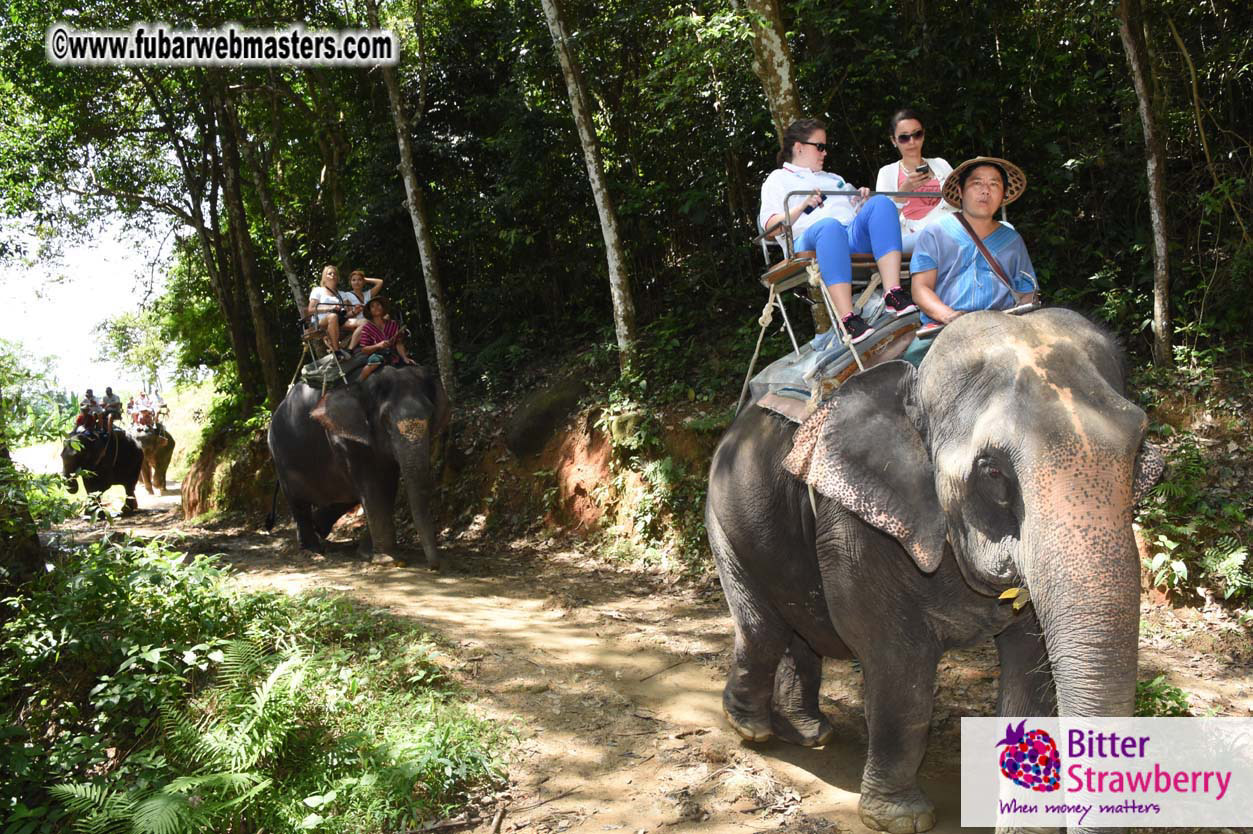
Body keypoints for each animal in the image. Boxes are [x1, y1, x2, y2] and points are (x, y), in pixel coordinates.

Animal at [268, 363, 449, 567]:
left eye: (431, 415)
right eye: (386, 420)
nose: (434, 567)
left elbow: (387, 486)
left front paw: (367, 553)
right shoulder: (344, 438)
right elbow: (373, 488)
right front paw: (386, 559)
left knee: (344, 496)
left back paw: (319, 527)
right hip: (281, 457)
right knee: (298, 503)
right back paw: (312, 550)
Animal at [705, 309, 1164, 834]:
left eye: (1139, 450)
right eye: (992, 471)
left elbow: (1033, 665)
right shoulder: (858, 526)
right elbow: (899, 661)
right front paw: (900, 818)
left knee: (801, 632)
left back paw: (810, 732)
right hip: (725, 516)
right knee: (762, 629)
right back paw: (752, 728)